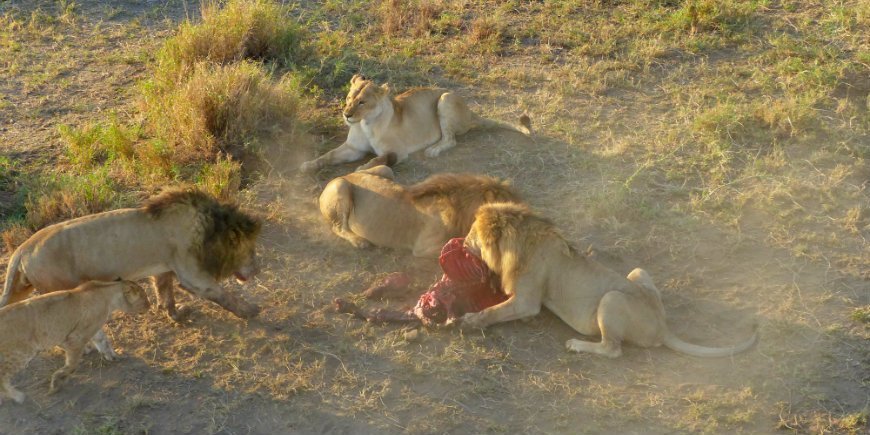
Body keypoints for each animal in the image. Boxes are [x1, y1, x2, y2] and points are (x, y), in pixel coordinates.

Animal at [0, 282, 149, 404]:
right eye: (144, 299)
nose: (150, 306)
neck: (108, 293)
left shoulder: (93, 328)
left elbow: (103, 341)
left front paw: (113, 356)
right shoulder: (75, 338)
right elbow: (72, 364)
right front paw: (56, 382)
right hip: (20, 353)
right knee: (2, 378)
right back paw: (18, 397)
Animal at [2, 188, 262, 338]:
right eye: (251, 251)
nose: (257, 270)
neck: (209, 228)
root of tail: (22, 249)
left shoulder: (164, 268)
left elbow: (165, 294)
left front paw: (176, 315)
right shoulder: (193, 275)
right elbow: (222, 294)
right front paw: (251, 311)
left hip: (21, 288)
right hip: (58, 288)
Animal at [300, 74, 532, 173]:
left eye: (362, 102)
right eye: (348, 98)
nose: (346, 115)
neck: (364, 124)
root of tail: (469, 111)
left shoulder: (398, 152)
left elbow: (381, 158)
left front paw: (363, 167)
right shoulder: (353, 148)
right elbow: (329, 155)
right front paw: (308, 165)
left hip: (445, 99)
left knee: (451, 140)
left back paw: (433, 149)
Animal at [320, 165, 524, 258]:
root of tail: (346, 174)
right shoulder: (424, 247)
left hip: (385, 170)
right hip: (340, 186)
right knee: (338, 227)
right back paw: (360, 242)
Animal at [460, 203, 760, 360]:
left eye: (472, 234)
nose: (461, 243)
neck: (519, 241)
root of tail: (662, 327)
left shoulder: (527, 300)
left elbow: (493, 311)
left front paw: (470, 321)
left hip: (611, 299)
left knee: (613, 349)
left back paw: (576, 345)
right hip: (638, 272)